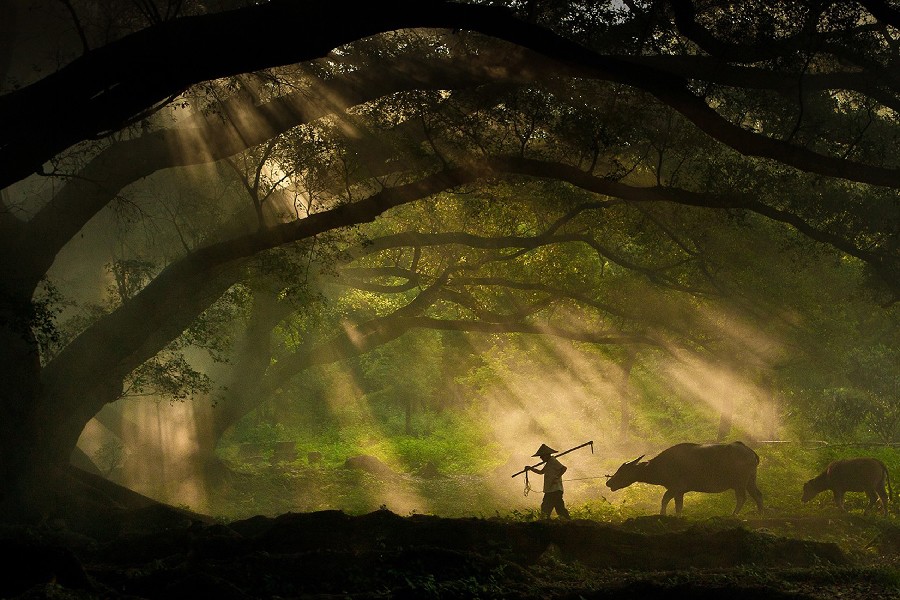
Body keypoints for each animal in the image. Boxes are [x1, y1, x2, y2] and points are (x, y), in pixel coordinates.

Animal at [604, 440, 768, 516]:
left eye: (623, 471)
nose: (609, 482)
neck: (662, 465)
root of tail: (751, 452)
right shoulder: (677, 490)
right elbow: (671, 503)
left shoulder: (677, 488)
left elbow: (671, 502)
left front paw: (668, 515)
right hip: (750, 480)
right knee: (758, 495)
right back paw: (760, 514)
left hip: (739, 482)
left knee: (742, 497)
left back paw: (733, 515)